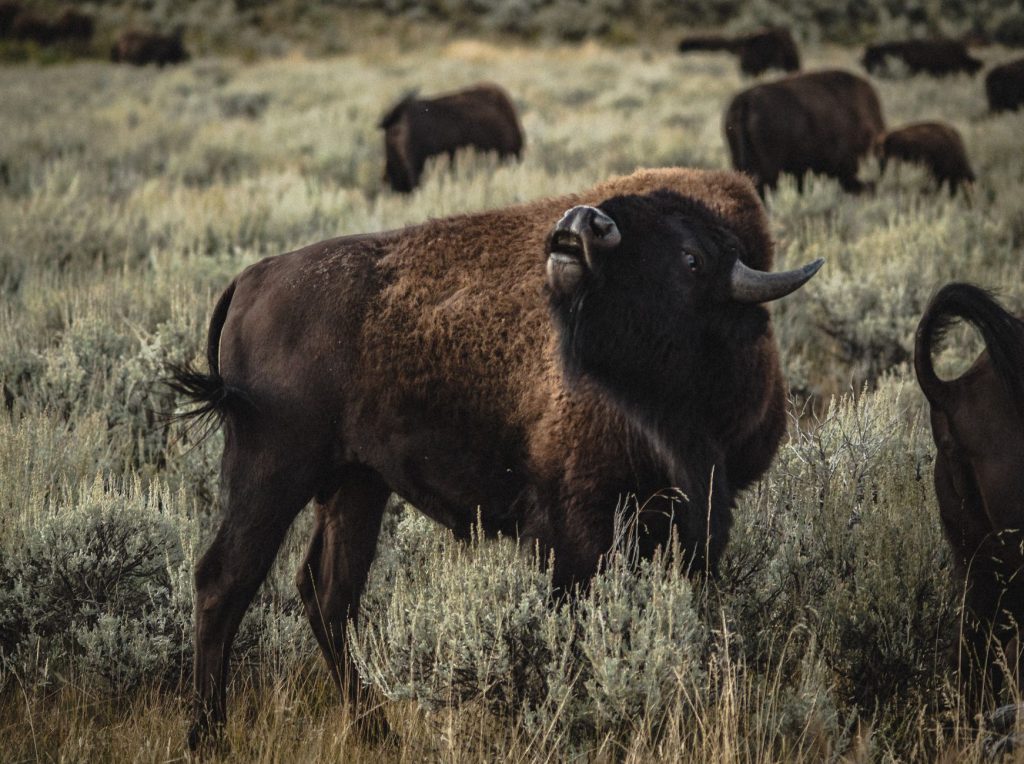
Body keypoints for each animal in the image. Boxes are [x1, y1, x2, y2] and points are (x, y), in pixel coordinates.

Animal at [168, 167, 822, 748]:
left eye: (692, 259)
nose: (583, 225)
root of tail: (254, 276)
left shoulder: (688, 522)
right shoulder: (574, 526)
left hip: (357, 483)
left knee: (330, 595)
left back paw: (378, 733)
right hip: (270, 470)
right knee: (225, 580)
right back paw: (209, 736)